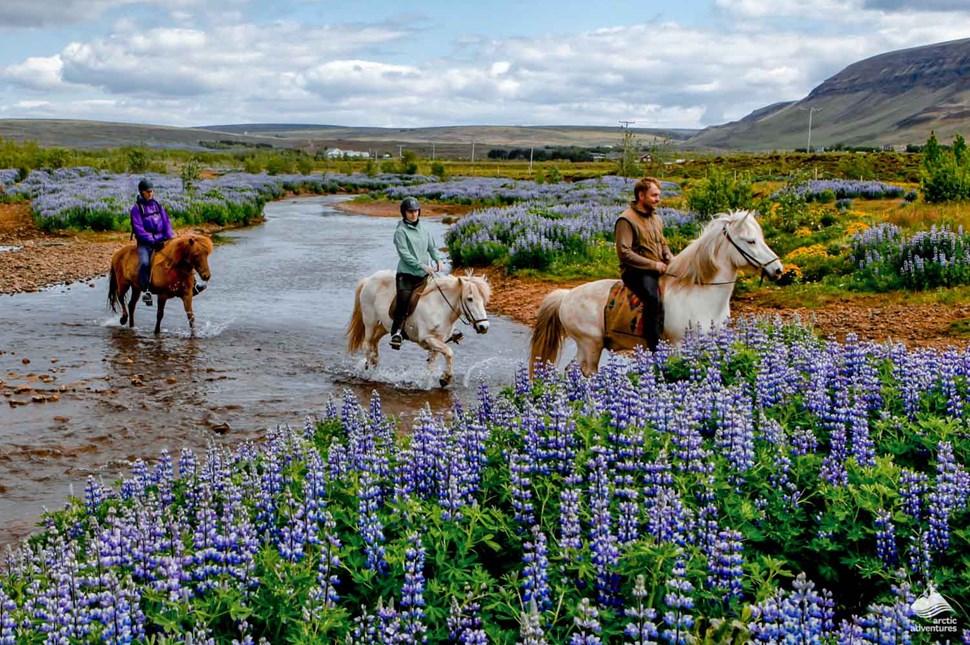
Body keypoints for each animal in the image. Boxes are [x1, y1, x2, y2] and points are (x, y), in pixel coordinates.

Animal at [344, 270, 492, 384]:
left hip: (384, 326)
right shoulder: (428, 338)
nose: (483, 327)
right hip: (370, 322)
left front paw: (434, 381)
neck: (441, 306)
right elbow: (449, 352)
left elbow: (432, 365)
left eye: (484, 299)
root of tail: (368, 280)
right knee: (367, 345)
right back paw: (370, 372)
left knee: (374, 345)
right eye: (470, 299)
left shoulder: (437, 342)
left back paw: (375, 365)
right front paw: (446, 378)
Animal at [524, 209, 784, 374]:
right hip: (590, 344)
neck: (699, 294)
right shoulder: (678, 345)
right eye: (750, 241)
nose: (778, 269)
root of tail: (565, 296)